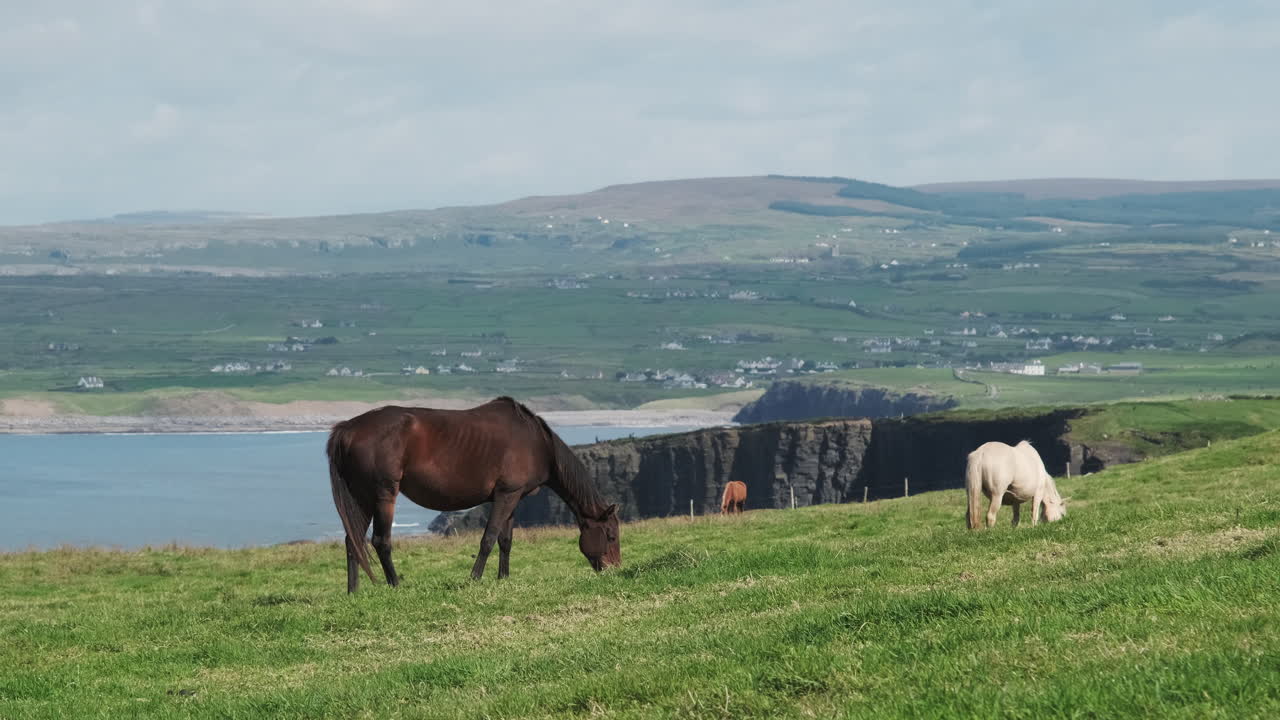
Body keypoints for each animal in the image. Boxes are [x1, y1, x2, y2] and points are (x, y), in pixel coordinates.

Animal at [326, 396, 620, 591]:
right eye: (611, 536)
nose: (614, 569)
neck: (537, 442)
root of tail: (348, 429)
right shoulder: (506, 495)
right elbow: (488, 538)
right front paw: (475, 578)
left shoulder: (512, 498)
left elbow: (505, 541)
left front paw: (503, 578)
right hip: (383, 495)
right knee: (380, 541)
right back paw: (396, 585)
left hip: (361, 498)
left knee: (353, 541)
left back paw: (354, 591)